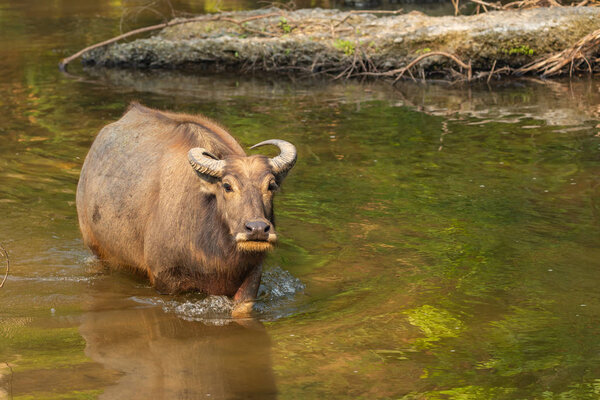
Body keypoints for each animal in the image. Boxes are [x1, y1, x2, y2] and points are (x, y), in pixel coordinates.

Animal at [76, 102, 296, 312]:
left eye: (271, 185)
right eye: (227, 186)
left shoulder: (252, 275)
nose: (257, 229)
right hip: (96, 247)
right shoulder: (165, 279)